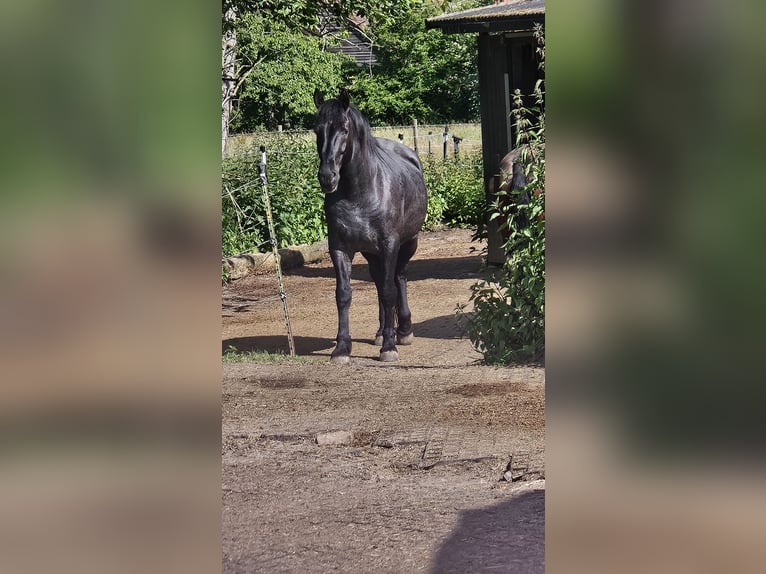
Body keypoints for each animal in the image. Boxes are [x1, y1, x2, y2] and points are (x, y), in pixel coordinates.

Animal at [316, 89, 428, 364]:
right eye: (317, 129)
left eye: (344, 129)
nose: (327, 177)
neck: (360, 193)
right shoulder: (340, 248)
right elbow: (343, 294)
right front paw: (341, 348)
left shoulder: (389, 245)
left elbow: (389, 292)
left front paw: (389, 347)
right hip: (371, 252)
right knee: (379, 282)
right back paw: (380, 332)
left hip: (407, 244)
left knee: (398, 278)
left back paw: (403, 331)